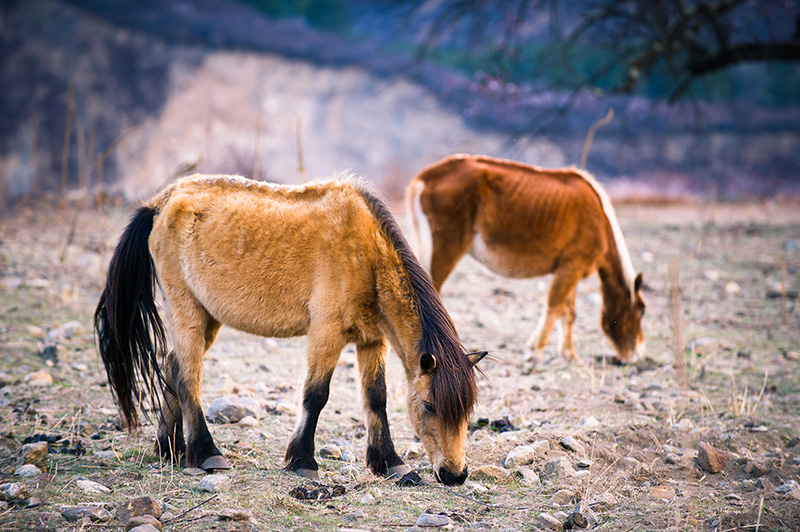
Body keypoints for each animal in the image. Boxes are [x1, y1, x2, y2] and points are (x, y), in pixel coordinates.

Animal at [97, 175, 490, 486]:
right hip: (186, 310)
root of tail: (160, 202)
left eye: (468, 409)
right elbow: (316, 395)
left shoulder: (371, 340)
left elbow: (375, 398)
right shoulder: (326, 334)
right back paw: (206, 453)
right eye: (429, 405)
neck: (365, 255)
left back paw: (170, 448)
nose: (455, 475)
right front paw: (303, 461)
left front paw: (391, 464)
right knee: (187, 376)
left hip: (208, 319)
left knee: (171, 367)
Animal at [410, 152, 648, 364]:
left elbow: (568, 313)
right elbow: (555, 306)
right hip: (446, 248)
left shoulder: (570, 270)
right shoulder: (571, 267)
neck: (598, 216)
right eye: (641, 310)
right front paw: (535, 351)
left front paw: (569, 355)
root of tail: (426, 177)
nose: (637, 355)